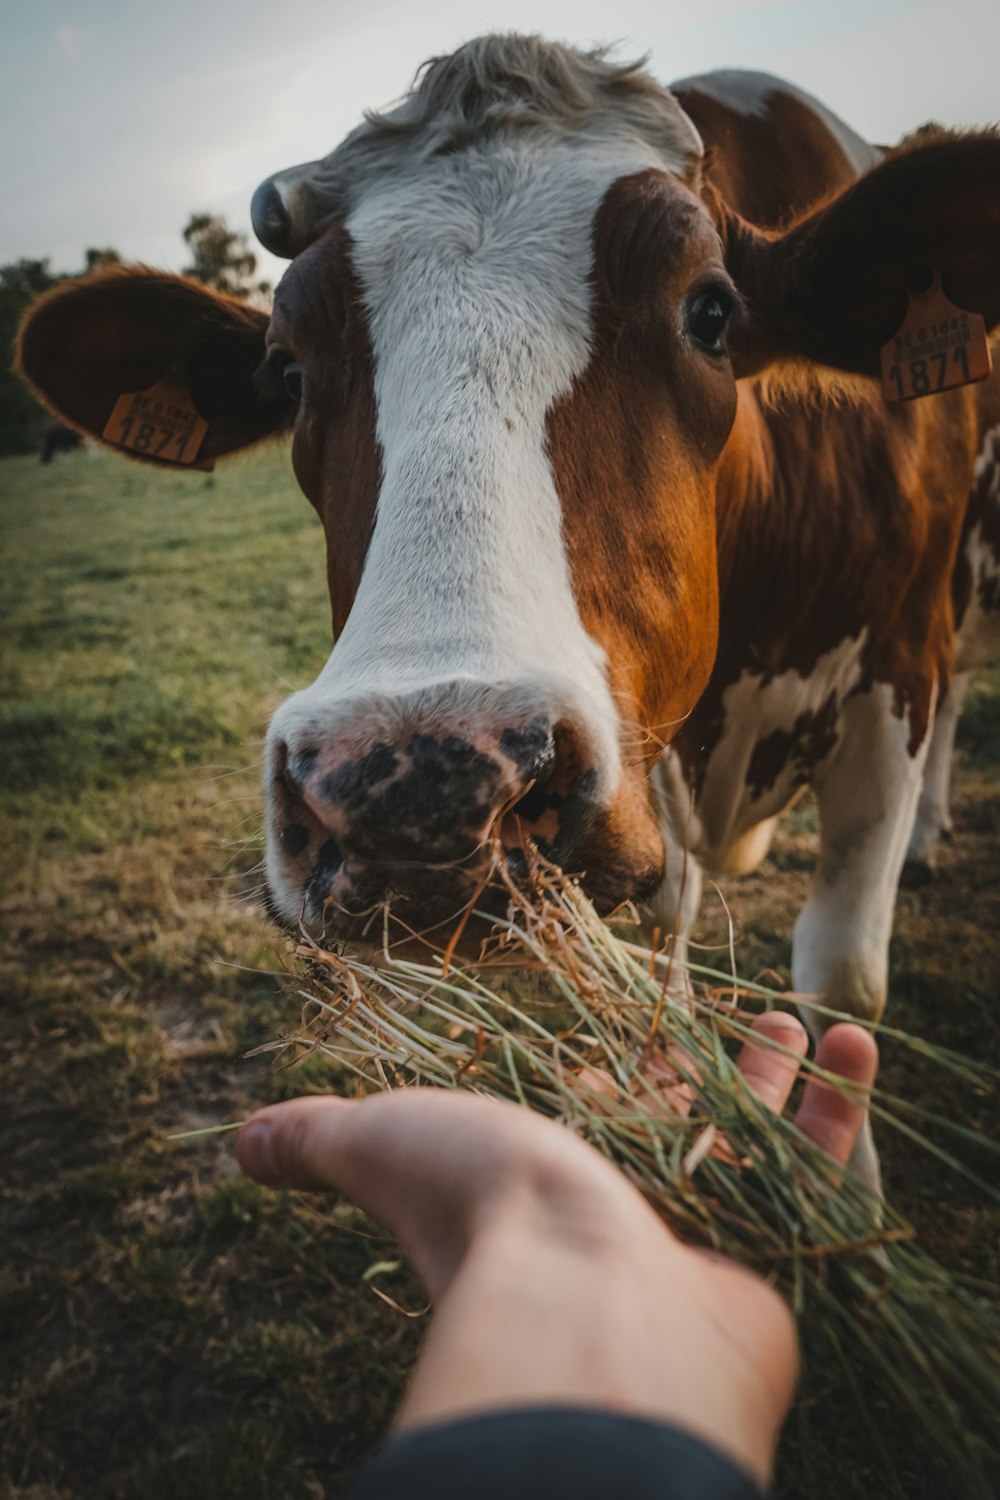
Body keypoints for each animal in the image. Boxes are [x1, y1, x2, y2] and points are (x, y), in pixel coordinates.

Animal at [15, 32, 1000, 1194]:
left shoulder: (898, 666)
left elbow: (844, 987)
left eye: (710, 312)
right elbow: (664, 954)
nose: (418, 785)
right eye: (287, 369)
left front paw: (842, 1205)